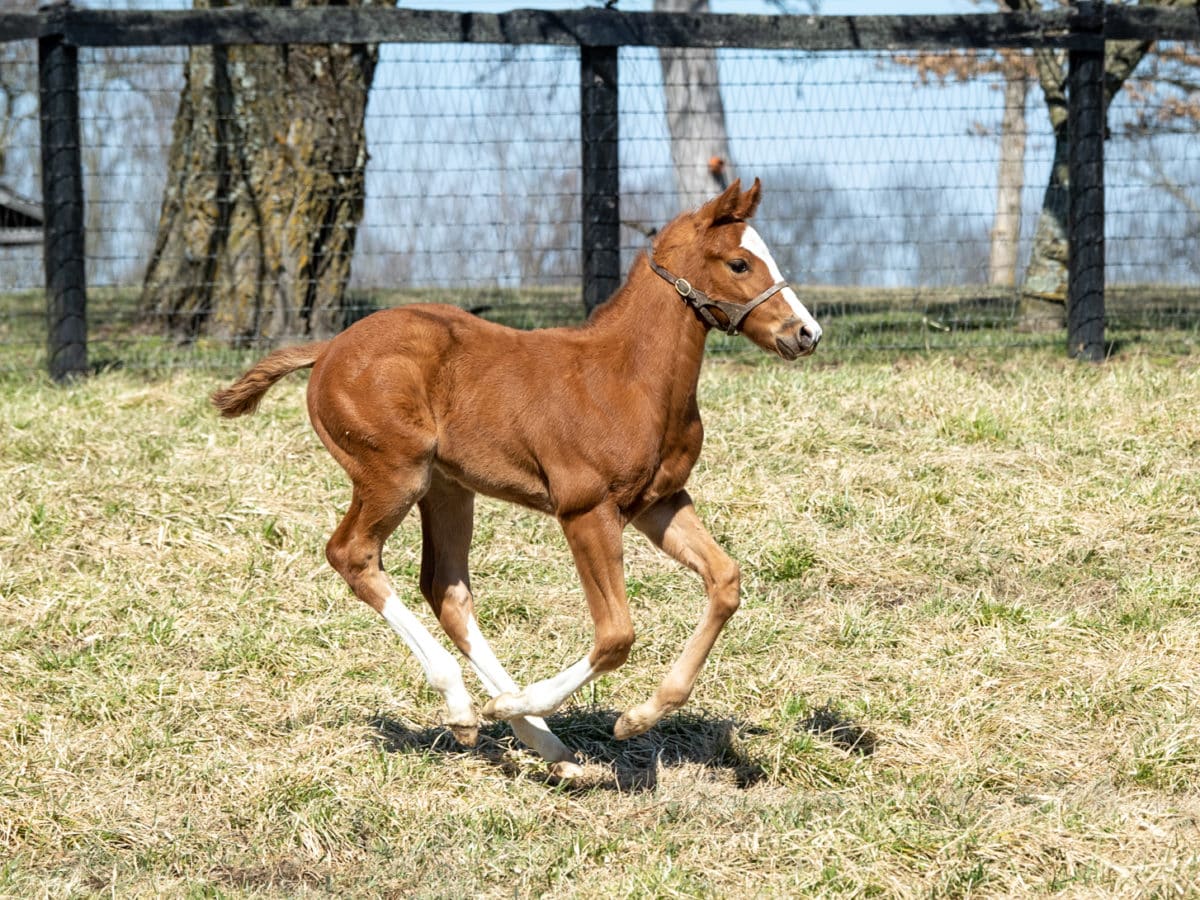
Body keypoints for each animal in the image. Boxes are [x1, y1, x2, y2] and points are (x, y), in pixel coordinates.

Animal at [211, 180, 820, 777]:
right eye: (739, 263)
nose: (805, 333)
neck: (629, 378)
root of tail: (329, 348)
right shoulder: (585, 510)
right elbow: (616, 635)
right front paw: (533, 705)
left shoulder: (660, 502)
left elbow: (725, 581)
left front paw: (635, 718)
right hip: (394, 475)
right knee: (353, 555)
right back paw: (469, 707)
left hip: (448, 489)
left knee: (446, 589)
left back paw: (546, 745)